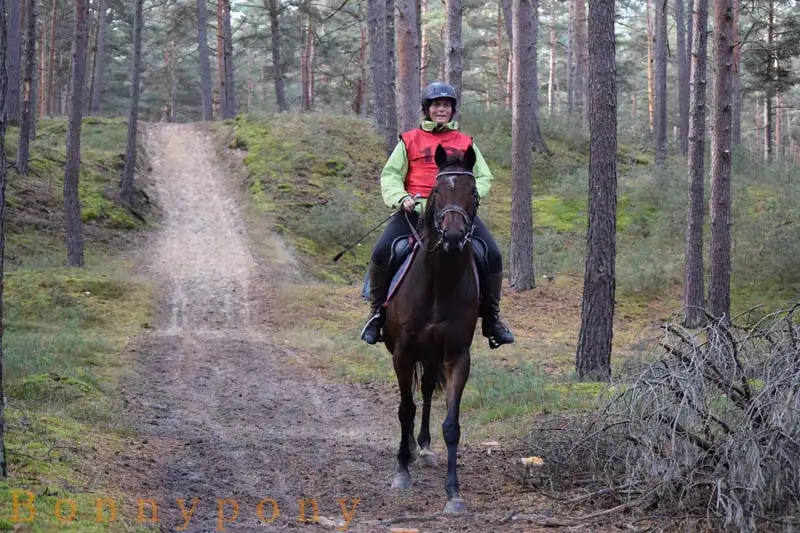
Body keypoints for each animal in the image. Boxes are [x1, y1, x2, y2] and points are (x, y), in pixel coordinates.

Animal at [382, 143, 482, 515]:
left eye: (473, 191)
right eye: (438, 190)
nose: (453, 236)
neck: (440, 281)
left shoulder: (457, 356)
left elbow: (451, 424)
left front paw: (453, 493)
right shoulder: (402, 353)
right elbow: (404, 409)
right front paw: (401, 471)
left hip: (433, 354)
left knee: (425, 391)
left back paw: (423, 447)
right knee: (413, 399)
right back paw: (412, 450)